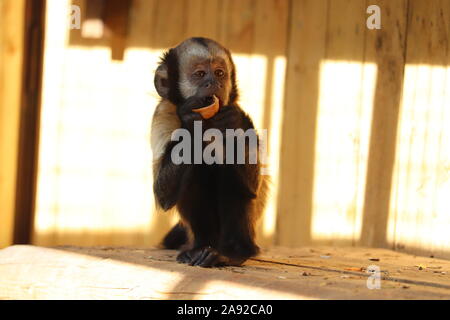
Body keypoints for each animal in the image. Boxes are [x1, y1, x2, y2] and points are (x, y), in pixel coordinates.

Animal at [151, 37, 268, 268]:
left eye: (219, 73)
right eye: (200, 74)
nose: (213, 83)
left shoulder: (235, 109)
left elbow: (253, 188)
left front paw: (235, 123)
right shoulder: (164, 113)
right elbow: (163, 195)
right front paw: (191, 122)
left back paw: (234, 252)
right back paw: (200, 247)